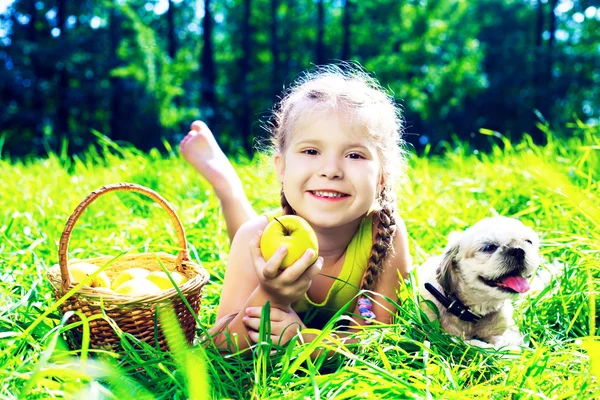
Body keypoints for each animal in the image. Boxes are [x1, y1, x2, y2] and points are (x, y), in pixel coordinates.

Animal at [418, 217, 540, 348]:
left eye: (528, 241)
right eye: (489, 247)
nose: (518, 250)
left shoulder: (509, 330)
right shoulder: (446, 335)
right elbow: (475, 345)